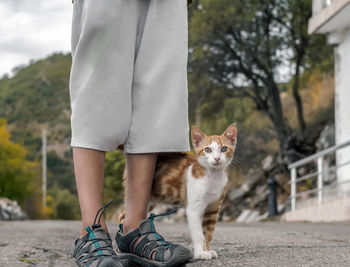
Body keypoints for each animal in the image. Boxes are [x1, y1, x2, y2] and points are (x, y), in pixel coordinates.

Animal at [118, 123, 238, 260]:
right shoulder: (193, 209)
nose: (217, 158)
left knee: (124, 215)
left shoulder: (213, 209)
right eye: (208, 150)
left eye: (224, 149)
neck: (213, 177)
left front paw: (207, 249)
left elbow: (208, 232)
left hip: (149, 200)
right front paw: (201, 252)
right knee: (122, 216)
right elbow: (198, 234)